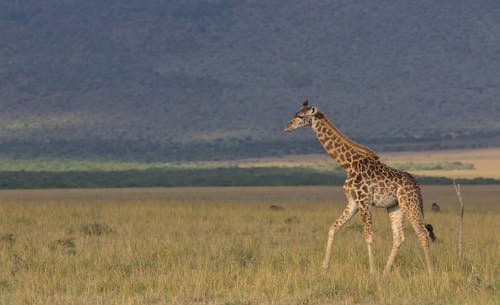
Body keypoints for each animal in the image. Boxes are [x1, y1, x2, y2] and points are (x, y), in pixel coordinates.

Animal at [284, 100, 436, 276]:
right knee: (399, 237)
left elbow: (368, 236)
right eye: (296, 113)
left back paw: (430, 273)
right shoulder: (352, 202)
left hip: (409, 203)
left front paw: (372, 272)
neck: (347, 164)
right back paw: (385, 272)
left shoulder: (364, 201)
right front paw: (324, 268)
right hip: (395, 206)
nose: (287, 127)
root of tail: (417, 186)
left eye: (301, 116)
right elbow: (333, 228)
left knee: (422, 233)